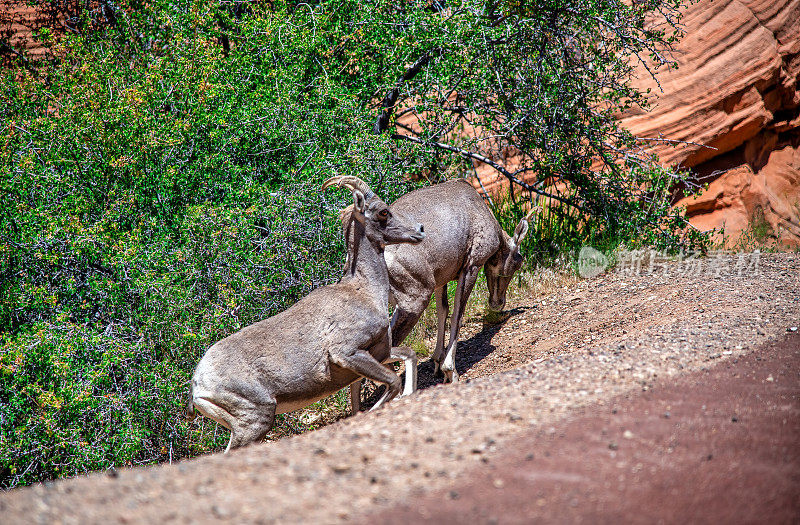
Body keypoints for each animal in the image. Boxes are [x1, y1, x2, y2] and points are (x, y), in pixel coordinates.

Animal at [187, 177, 424, 450]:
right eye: (383, 212)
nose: (420, 230)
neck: (365, 291)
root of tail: (197, 386)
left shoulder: (379, 354)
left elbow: (409, 355)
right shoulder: (349, 354)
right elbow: (392, 384)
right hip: (254, 422)